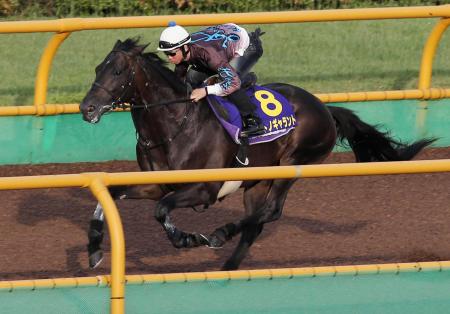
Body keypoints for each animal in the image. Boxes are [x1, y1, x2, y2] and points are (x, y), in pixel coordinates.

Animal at [79, 38, 434, 270]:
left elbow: (161, 211)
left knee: (271, 211)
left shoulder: (203, 189)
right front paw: (94, 249)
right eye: (96, 68)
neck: (175, 124)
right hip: (257, 180)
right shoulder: (158, 183)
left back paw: (219, 235)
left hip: (294, 163)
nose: (87, 108)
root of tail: (324, 106)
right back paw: (227, 269)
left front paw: (187, 238)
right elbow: (111, 196)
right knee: (255, 222)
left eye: (117, 72)